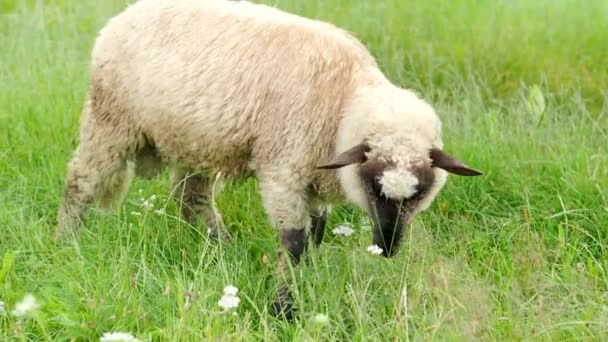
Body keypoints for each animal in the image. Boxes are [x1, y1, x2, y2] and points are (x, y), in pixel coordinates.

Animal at [58, 0, 484, 320]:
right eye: (373, 183)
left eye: (421, 192)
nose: (388, 247)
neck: (343, 100)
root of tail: (122, 16)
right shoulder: (284, 171)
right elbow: (295, 241)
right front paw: (285, 309)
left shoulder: (313, 178)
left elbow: (316, 233)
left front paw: (305, 285)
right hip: (111, 122)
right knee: (80, 181)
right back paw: (66, 242)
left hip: (194, 140)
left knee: (189, 199)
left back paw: (223, 248)